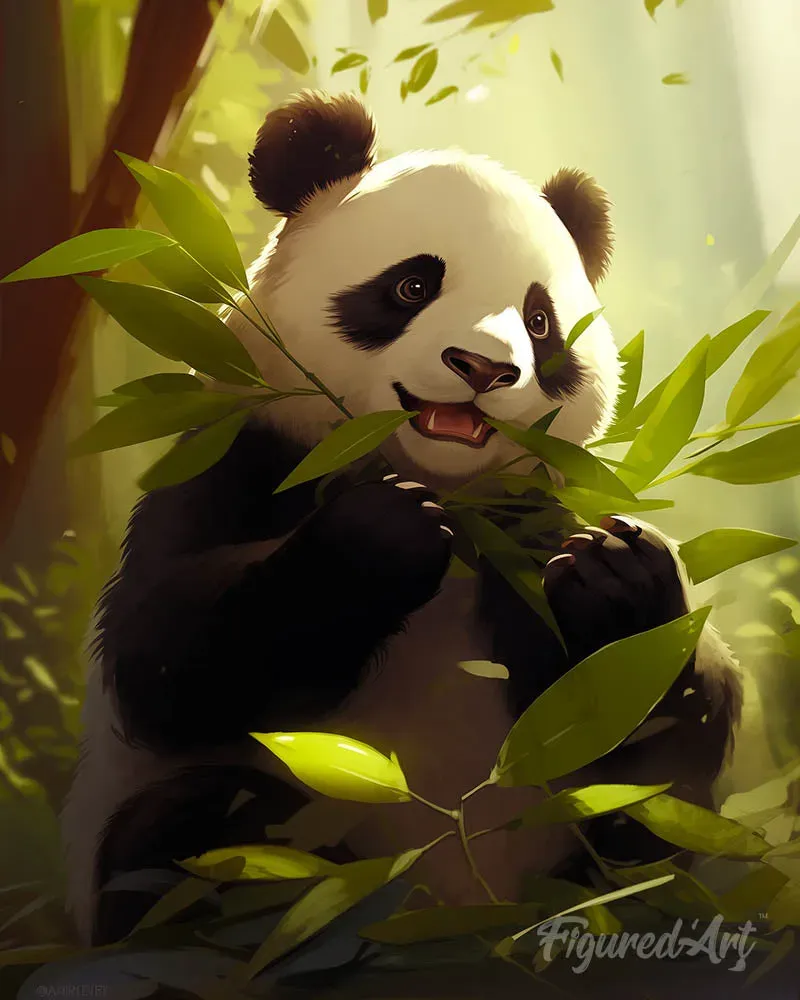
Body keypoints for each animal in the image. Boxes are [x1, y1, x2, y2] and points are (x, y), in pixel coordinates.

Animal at [62, 90, 743, 947]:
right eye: (412, 287)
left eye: (540, 321)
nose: (485, 368)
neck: (448, 492)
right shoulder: (239, 454)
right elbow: (161, 657)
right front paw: (380, 539)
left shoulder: (528, 521)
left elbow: (667, 710)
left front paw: (614, 577)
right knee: (198, 832)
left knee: (644, 842)